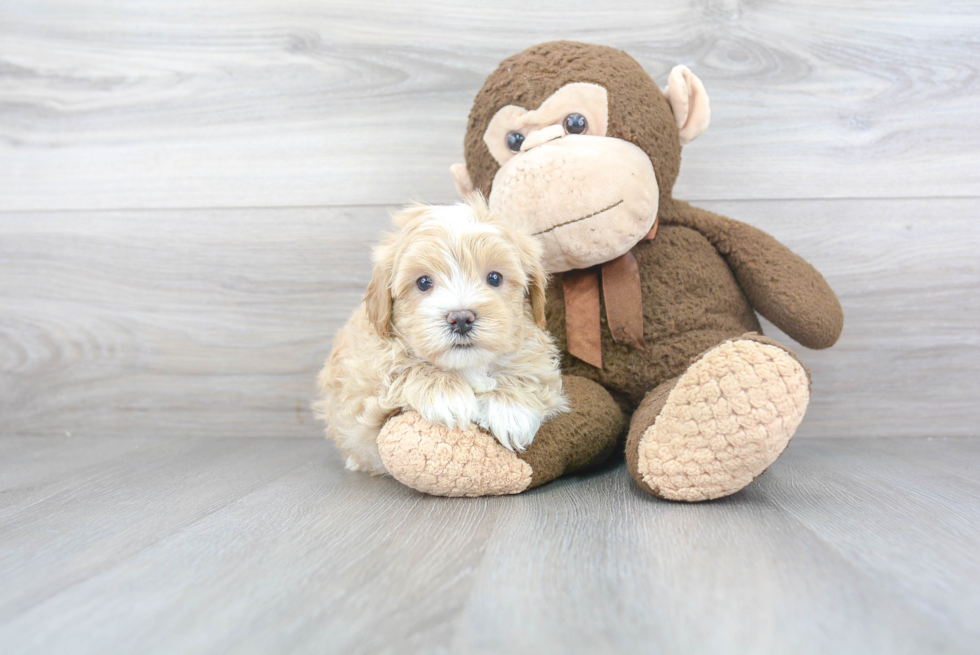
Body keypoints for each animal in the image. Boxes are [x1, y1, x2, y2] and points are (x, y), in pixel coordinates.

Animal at [318, 197, 568, 474]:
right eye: (423, 282)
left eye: (494, 278)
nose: (461, 319)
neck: (466, 367)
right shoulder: (364, 384)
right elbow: (401, 369)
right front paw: (446, 394)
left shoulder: (540, 363)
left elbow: (529, 375)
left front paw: (511, 409)